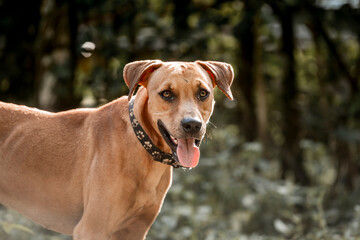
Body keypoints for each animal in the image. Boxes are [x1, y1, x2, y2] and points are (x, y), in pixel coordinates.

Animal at [0, 60, 233, 240]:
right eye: (166, 94)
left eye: (203, 93)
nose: (192, 125)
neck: (141, 147)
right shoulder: (91, 230)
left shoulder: (134, 230)